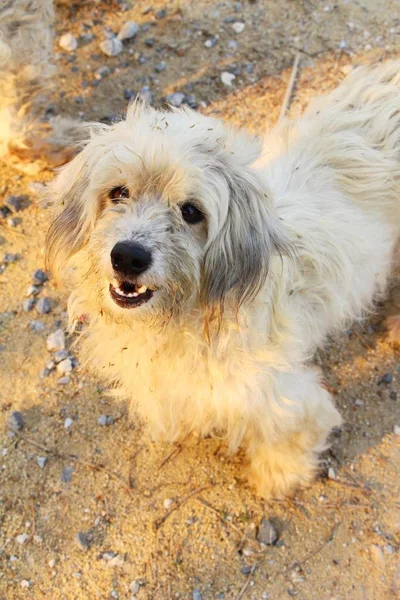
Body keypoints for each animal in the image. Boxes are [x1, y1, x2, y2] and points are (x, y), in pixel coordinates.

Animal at [43, 63, 400, 500]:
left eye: (191, 211)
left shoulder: (285, 397)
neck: (186, 318)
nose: (128, 256)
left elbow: (290, 436)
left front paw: (279, 478)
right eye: (119, 192)